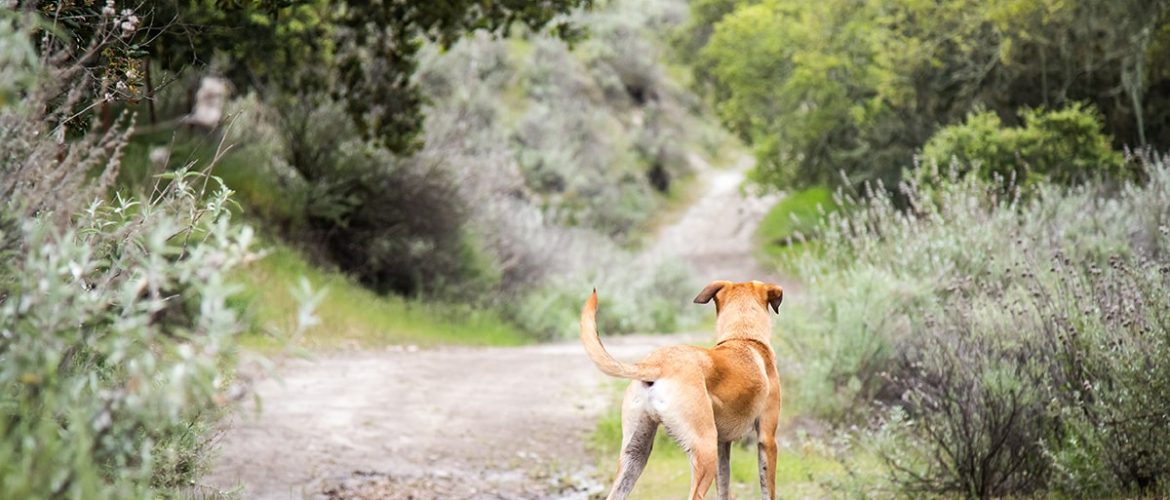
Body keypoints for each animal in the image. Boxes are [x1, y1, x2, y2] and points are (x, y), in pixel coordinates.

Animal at [577, 279, 781, 498]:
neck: (743, 338)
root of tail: (658, 364)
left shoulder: (722, 445)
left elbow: (724, 488)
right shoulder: (767, 440)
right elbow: (768, 490)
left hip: (635, 455)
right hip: (705, 450)